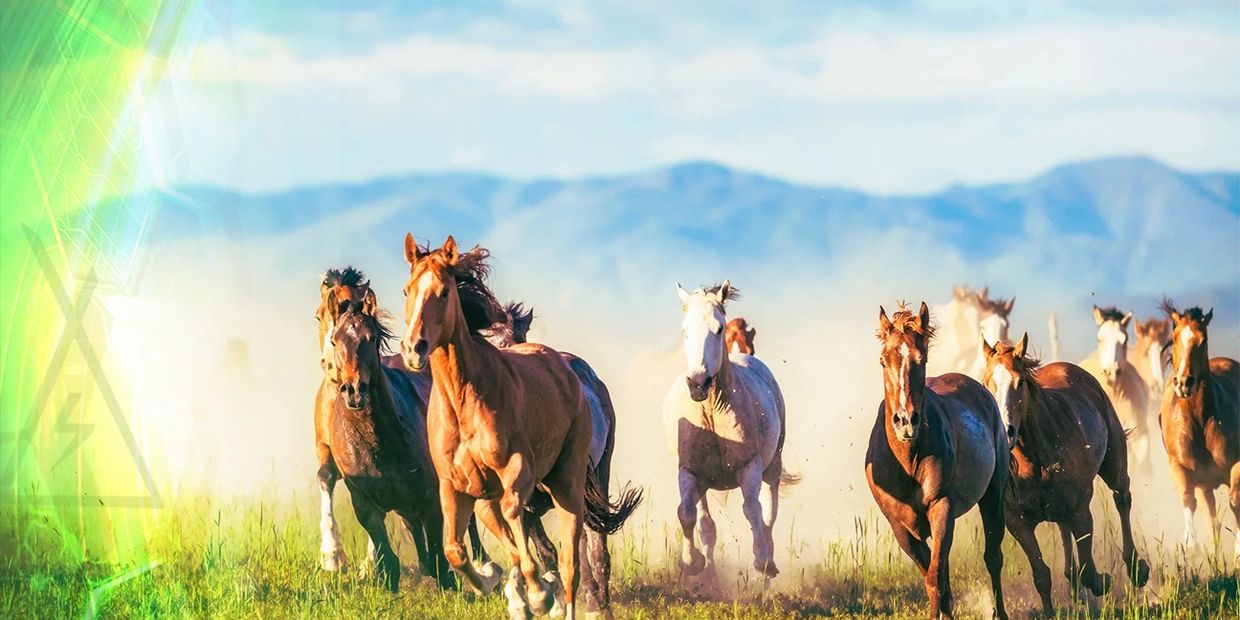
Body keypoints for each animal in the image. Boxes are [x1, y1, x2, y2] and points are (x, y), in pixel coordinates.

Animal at [484, 301, 631, 618]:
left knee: (595, 548)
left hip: (599, 474)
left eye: (521, 340)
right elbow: (544, 552)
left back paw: (599, 604)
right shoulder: (523, 509)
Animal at [663, 281, 794, 586]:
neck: (711, 411)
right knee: (707, 524)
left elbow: (753, 510)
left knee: (768, 514)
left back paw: (768, 568)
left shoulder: (750, 467)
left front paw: (762, 562)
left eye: (718, 328)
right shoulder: (689, 471)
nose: (697, 382)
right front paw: (692, 563)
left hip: (773, 466)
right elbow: (687, 514)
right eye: (685, 330)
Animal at [867, 302, 1009, 620]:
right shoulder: (899, 526)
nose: (906, 421)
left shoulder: (941, 508)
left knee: (993, 558)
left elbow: (934, 579)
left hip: (993, 496)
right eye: (882, 361)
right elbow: (932, 573)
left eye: (922, 359)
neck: (907, 462)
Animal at [981, 335, 1149, 614]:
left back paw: (1136, 567)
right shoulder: (1017, 522)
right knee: (1063, 528)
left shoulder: (1080, 510)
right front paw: (1051, 612)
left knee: (1122, 498)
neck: (1034, 464)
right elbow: (1041, 574)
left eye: (1020, 381)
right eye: (986, 384)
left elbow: (1089, 569)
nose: (1006, 432)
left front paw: (1103, 581)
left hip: (1114, 465)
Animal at [1158, 299, 1240, 553]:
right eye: (1173, 338)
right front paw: (1190, 542)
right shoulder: (1180, 467)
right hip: (1205, 485)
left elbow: (1235, 500)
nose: (1184, 383)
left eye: (1202, 341)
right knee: (1211, 519)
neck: (1200, 421)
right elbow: (1188, 499)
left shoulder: (1235, 465)